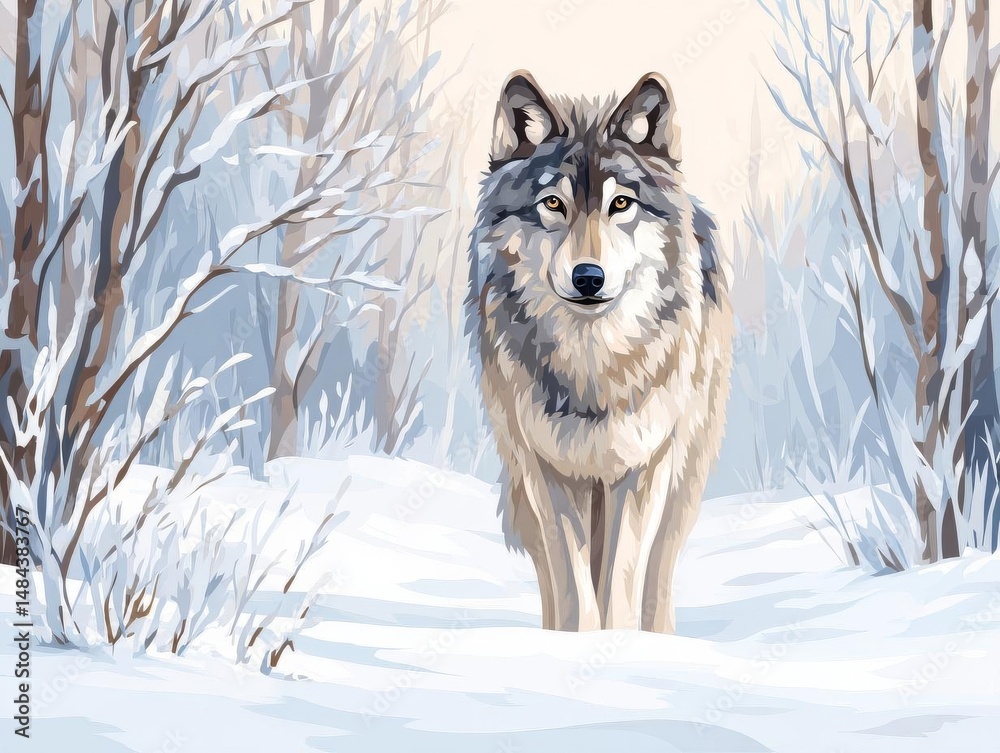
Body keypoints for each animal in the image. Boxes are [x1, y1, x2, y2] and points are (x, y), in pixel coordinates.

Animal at [469, 71, 733, 632]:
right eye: (553, 204)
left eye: (621, 204)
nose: (588, 277)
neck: (593, 366)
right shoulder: (545, 469)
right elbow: (572, 581)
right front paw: (577, 643)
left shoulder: (643, 467)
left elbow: (623, 576)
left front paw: (619, 643)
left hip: (684, 474)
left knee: (659, 570)